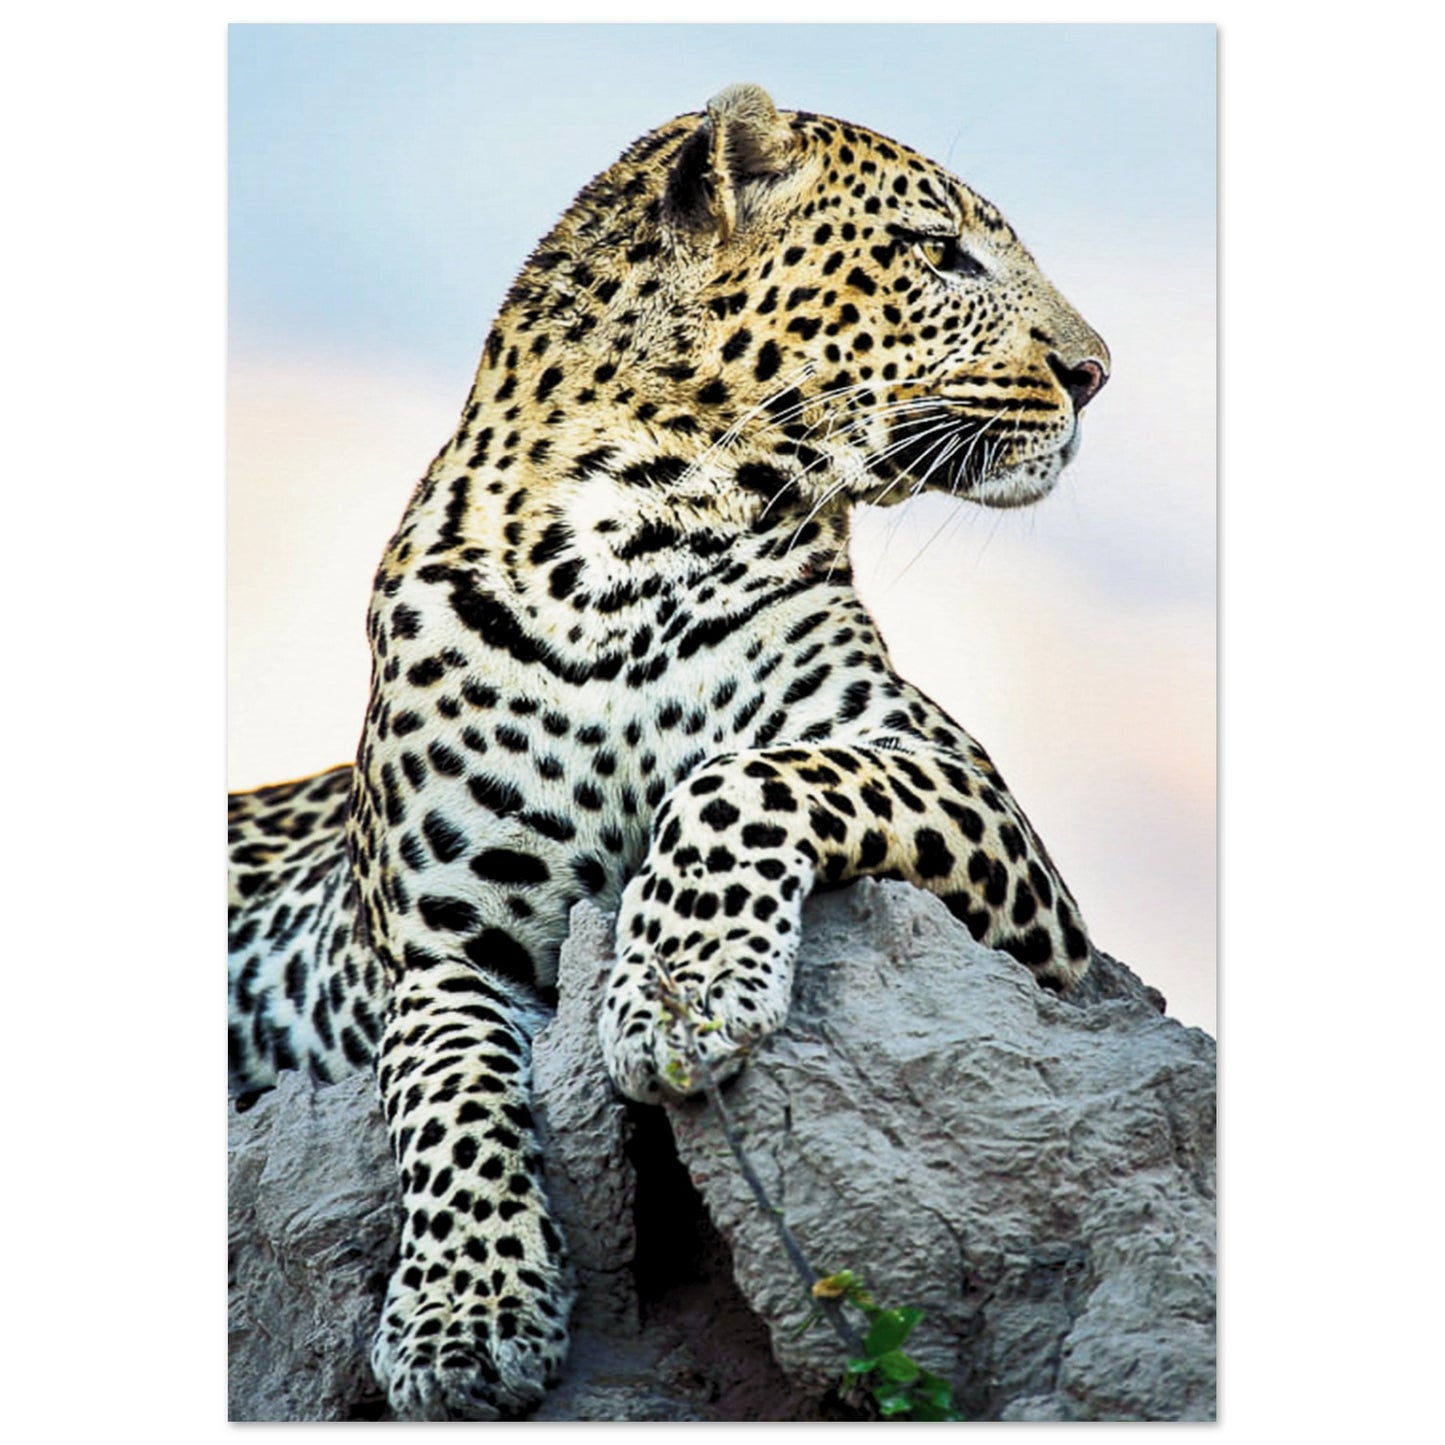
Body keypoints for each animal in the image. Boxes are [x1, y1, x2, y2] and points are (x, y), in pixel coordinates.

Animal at [228, 83, 1110, 1421]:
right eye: (938, 251)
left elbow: (740, 774)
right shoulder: (437, 948)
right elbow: (444, 1089)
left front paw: (676, 995)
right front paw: (462, 1319)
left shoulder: (989, 833)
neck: (617, 546)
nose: (1094, 373)